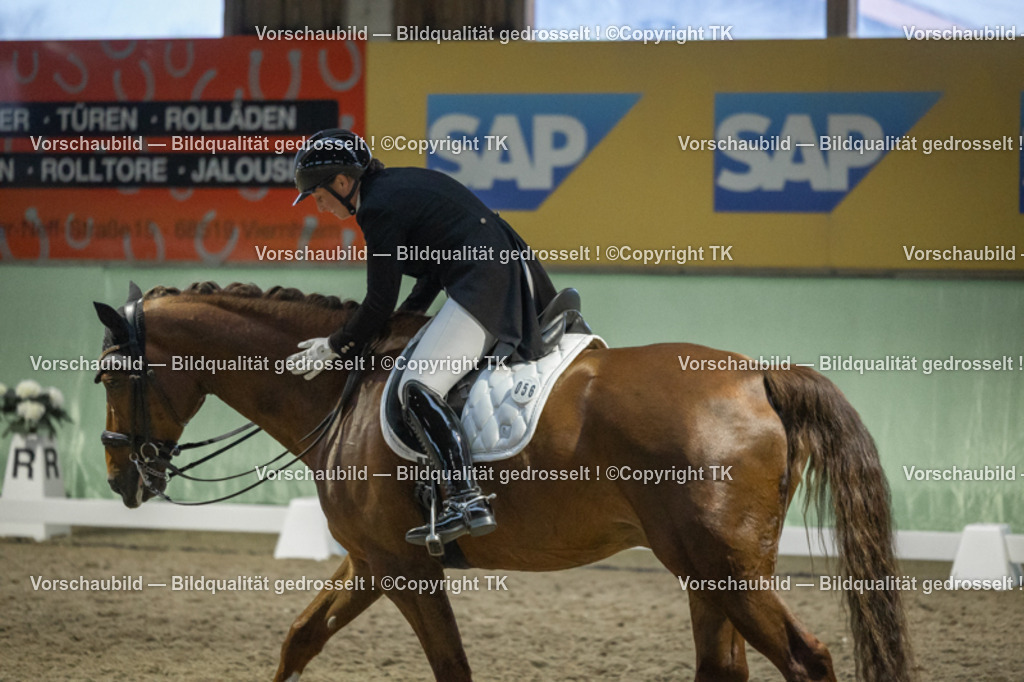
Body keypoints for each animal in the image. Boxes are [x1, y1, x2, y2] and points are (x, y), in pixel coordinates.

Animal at [93, 281, 912, 682]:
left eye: (107, 376)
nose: (122, 479)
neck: (341, 392)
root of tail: (757, 376)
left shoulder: (404, 571)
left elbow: (452, 669)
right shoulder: (374, 561)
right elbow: (299, 640)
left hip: (725, 570)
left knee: (808, 661)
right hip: (708, 574)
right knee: (723, 670)